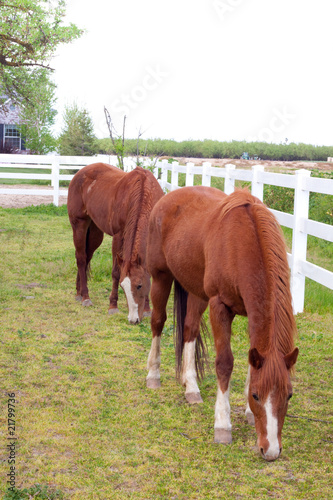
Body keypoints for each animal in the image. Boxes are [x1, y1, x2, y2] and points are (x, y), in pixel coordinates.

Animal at [67, 162, 163, 322]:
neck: (143, 192)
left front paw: (148, 309)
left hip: (95, 232)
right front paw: (113, 306)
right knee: (81, 259)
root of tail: (79, 173)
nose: (133, 319)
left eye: (139, 285)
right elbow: (116, 272)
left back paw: (79, 292)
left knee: (86, 257)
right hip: (79, 224)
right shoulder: (118, 237)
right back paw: (85, 297)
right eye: (123, 287)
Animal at [147, 187, 296, 460]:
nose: (270, 450)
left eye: (288, 395)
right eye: (256, 395)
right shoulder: (219, 307)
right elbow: (225, 363)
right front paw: (223, 425)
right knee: (158, 322)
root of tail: (167, 198)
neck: (244, 243)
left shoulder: (249, 311)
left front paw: (247, 413)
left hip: (196, 290)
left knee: (189, 330)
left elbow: (251, 360)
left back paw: (191, 386)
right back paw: (153, 375)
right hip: (161, 277)